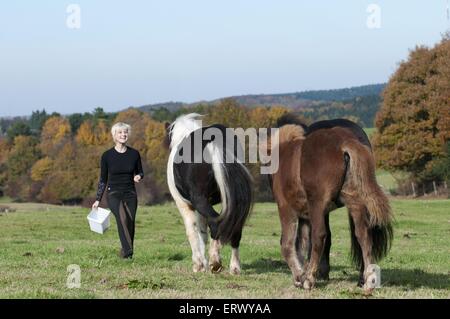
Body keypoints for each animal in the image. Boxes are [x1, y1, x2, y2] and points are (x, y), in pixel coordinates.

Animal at [167, 114, 255, 276]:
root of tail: (212, 141)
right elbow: (202, 233)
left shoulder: (185, 205)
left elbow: (192, 232)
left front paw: (199, 265)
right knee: (235, 229)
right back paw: (234, 267)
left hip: (200, 200)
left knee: (214, 224)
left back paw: (215, 262)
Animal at [268, 114, 392, 292]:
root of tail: (345, 142)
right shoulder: (305, 215)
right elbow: (302, 243)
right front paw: (302, 273)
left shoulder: (286, 208)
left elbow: (287, 244)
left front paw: (300, 276)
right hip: (354, 202)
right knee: (363, 235)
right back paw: (367, 281)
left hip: (317, 204)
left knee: (320, 235)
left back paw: (309, 279)